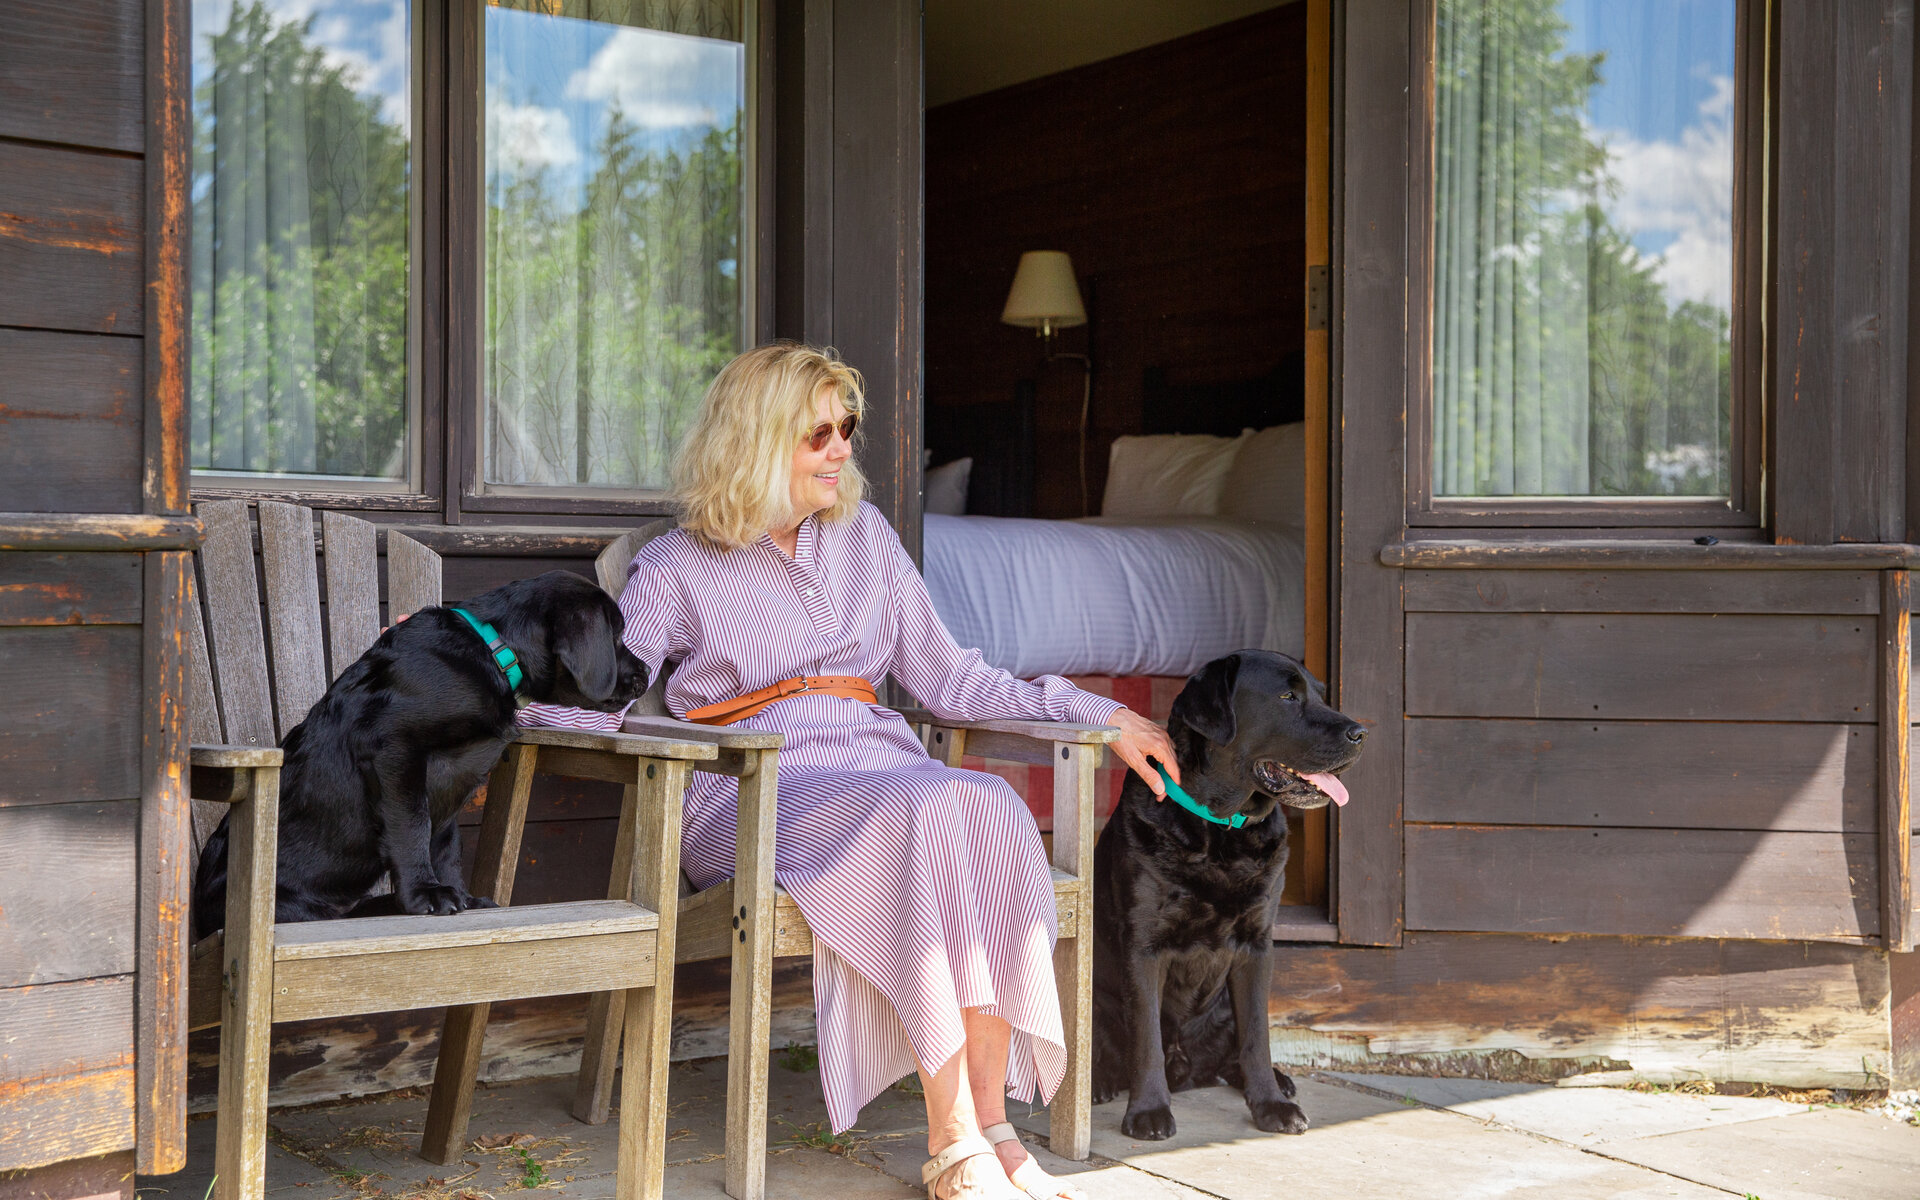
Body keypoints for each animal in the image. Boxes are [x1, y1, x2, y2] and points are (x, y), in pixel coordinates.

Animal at [194, 572, 648, 936]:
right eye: (616, 636)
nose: (645, 674)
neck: (495, 654)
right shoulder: (395, 749)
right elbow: (413, 827)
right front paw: (427, 894)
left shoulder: (453, 781)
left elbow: (445, 843)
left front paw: (460, 895)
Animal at [1098, 648, 1367, 1136]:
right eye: (1287, 696)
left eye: (1321, 694)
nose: (1361, 733)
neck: (1221, 828)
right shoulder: (1143, 947)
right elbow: (1146, 1039)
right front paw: (1147, 1110)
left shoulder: (1257, 945)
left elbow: (1257, 1036)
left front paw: (1270, 1104)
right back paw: (1102, 1083)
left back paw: (1279, 1082)